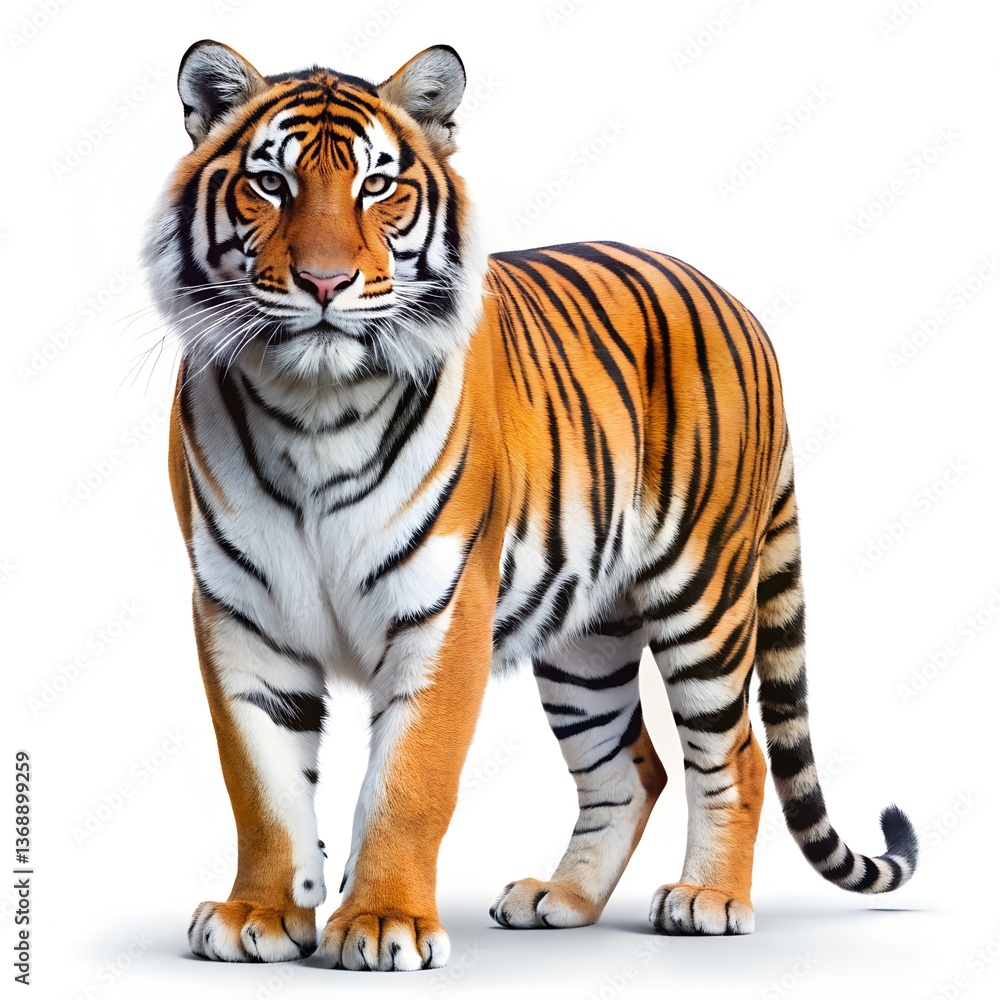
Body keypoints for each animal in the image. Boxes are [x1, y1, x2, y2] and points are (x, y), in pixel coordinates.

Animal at [142, 39, 919, 971]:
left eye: (377, 185)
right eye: (270, 183)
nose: (325, 282)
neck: (313, 404)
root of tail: (738, 305)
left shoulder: (444, 611)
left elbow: (408, 783)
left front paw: (384, 922)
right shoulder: (239, 614)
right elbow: (260, 783)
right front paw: (257, 914)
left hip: (703, 598)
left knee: (736, 753)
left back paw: (708, 900)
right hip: (585, 640)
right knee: (631, 769)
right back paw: (563, 899)